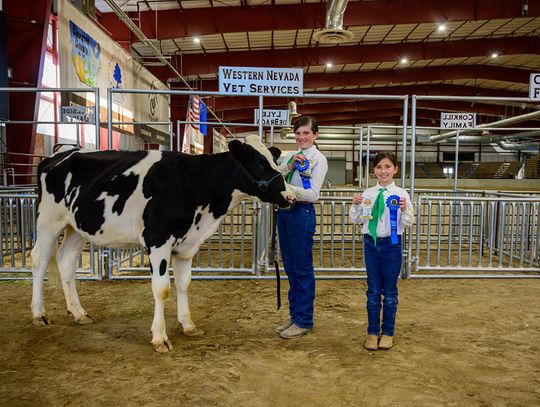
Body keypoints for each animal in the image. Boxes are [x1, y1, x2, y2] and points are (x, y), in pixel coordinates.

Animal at [31, 136, 294, 354]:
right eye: (259, 163)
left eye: (274, 161)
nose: (290, 197)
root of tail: (58, 156)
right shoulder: (157, 240)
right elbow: (162, 289)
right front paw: (160, 337)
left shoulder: (187, 245)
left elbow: (184, 284)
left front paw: (188, 324)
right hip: (48, 221)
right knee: (39, 260)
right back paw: (39, 314)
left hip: (75, 227)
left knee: (66, 262)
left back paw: (78, 313)